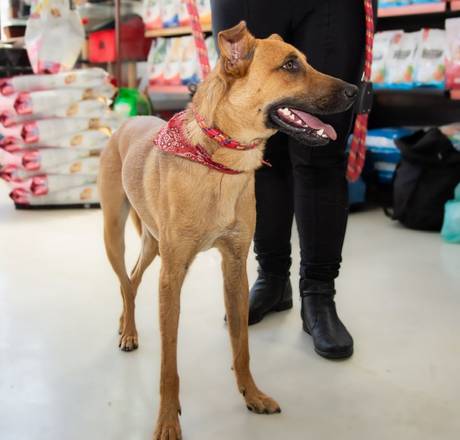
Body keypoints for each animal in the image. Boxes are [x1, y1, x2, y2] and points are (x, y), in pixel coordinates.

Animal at [98, 21, 357, 440]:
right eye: (290, 65)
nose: (355, 90)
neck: (219, 163)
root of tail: (128, 121)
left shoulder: (234, 267)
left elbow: (242, 346)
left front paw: (251, 394)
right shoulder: (172, 277)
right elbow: (169, 366)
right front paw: (167, 420)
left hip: (153, 243)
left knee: (132, 281)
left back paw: (127, 325)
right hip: (114, 234)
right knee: (123, 278)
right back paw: (129, 332)